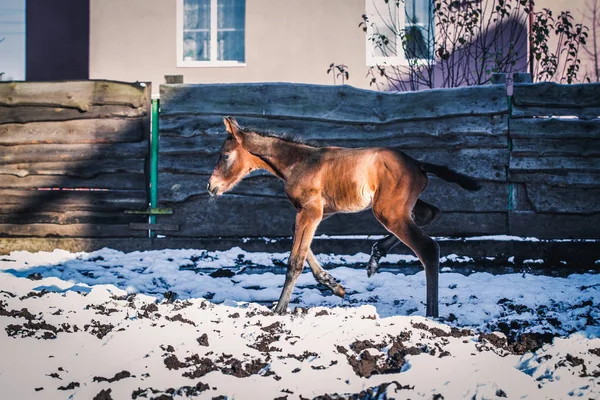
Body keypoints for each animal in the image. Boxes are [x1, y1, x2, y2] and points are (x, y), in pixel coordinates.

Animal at [209, 117, 480, 318]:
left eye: (225, 156)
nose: (211, 187)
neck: (300, 162)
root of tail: (418, 164)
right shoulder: (318, 212)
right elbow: (299, 242)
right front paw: (333, 285)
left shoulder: (310, 211)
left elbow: (295, 260)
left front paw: (279, 309)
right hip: (399, 207)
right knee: (431, 213)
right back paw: (375, 257)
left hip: (389, 211)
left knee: (428, 248)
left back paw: (432, 315)